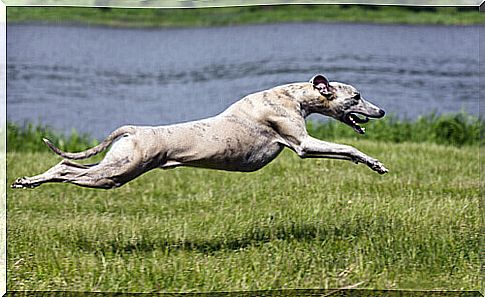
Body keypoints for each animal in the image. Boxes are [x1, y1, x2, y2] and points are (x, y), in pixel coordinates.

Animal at [11, 74, 388, 190]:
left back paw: (27, 181)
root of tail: (133, 130)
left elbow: (346, 152)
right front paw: (374, 163)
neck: (292, 95)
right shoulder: (304, 145)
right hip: (114, 173)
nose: (382, 111)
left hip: (115, 165)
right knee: (66, 170)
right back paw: (31, 181)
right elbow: (348, 149)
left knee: (66, 166)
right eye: (356, 96)